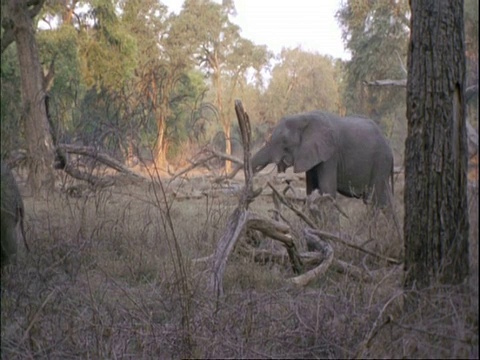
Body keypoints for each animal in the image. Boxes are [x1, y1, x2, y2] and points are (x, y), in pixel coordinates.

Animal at [249, 111, 396, 210]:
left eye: (284, 141)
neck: (304, 117)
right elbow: (311, 189)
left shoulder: (330, 154)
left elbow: (327, 190)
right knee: (385, 201)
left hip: (381, 161)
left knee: (374, 200)